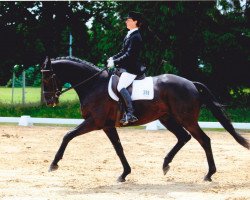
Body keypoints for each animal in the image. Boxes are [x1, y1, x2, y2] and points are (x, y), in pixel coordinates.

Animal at [41, 56, 248, 183]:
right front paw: (124, 174)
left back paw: (209, 174)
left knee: (204, 140)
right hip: (167, 118)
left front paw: (54, 164)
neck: (93, 84)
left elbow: (68, 135)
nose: (50, 101)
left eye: (47, 78)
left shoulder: (95, 122)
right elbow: (118, 148)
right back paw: (166, 165)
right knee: (184, 137)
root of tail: (191, 83)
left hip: (186, 119)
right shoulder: (107, 126)